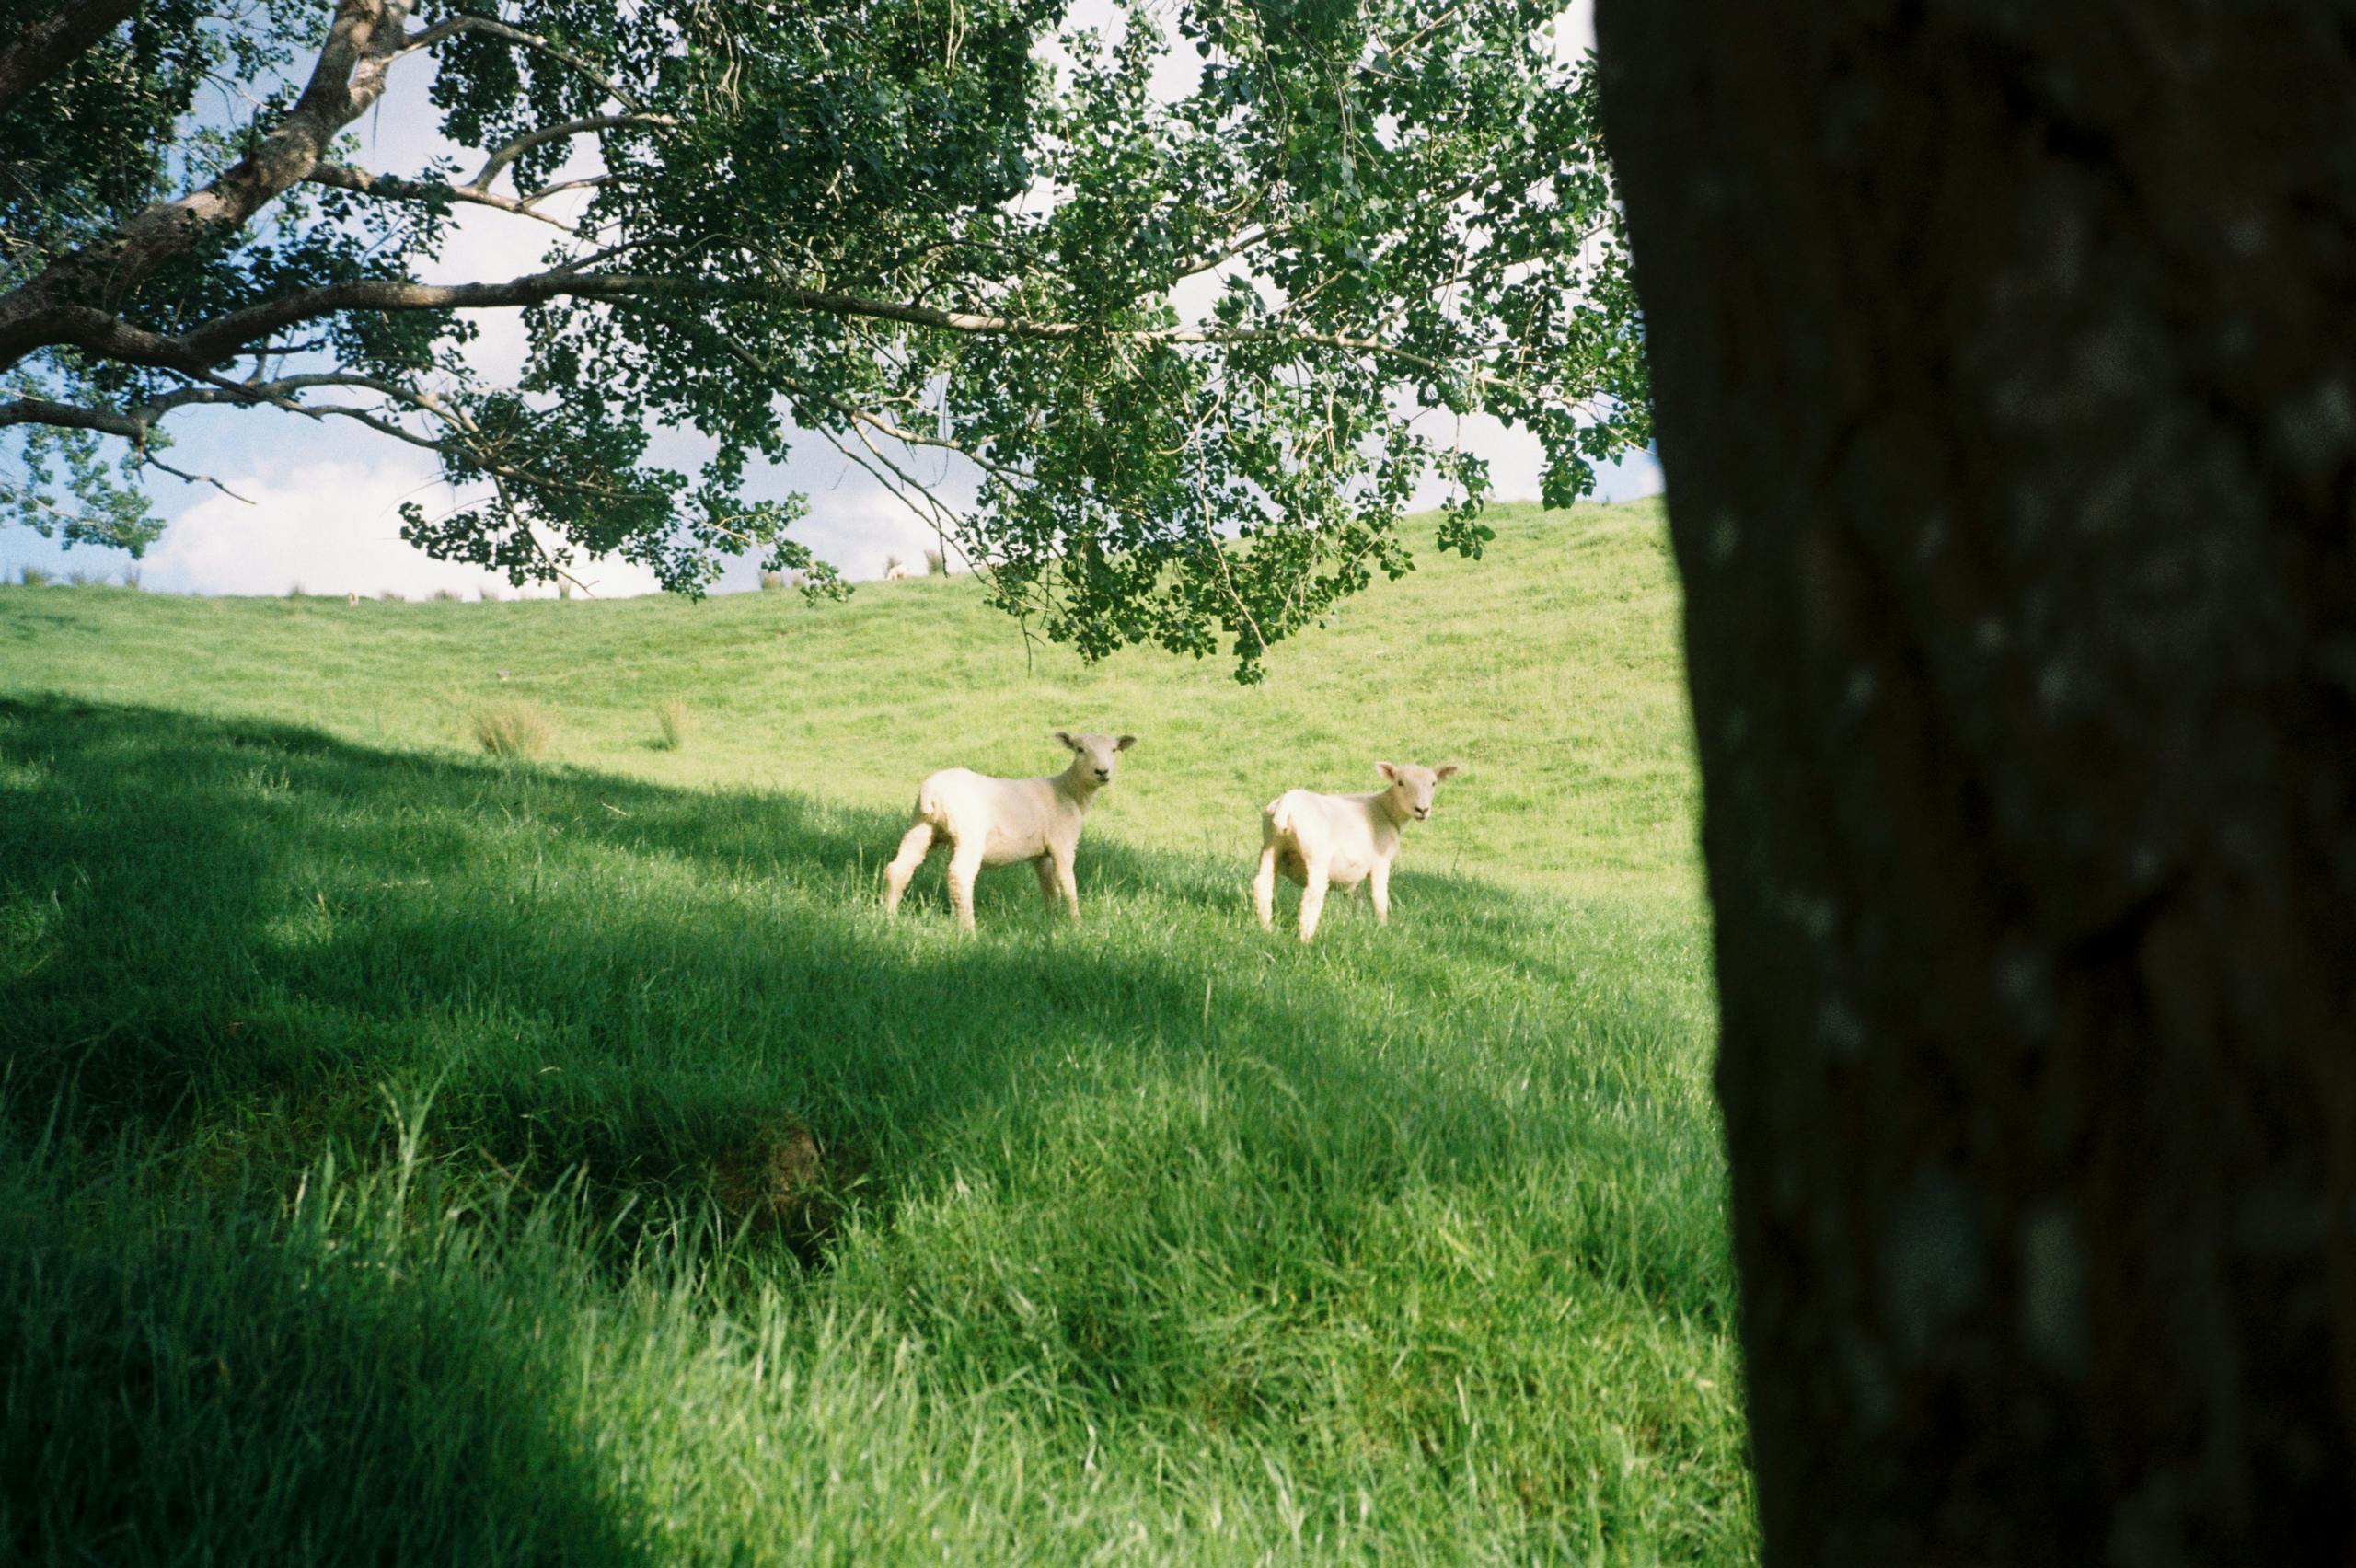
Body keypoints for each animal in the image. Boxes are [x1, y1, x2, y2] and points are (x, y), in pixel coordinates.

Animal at [883, 731, 1137, 931]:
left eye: (1114, 749)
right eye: (1080, 749)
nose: (1102, 772)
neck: (1069, 791)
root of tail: (931, 791)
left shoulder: (1041, 854)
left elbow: (1049, 886)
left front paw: (1053, 918)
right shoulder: (1062, 843)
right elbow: (1068, 883)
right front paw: (1076, 923)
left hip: (920, 826)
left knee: (898, 868)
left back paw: (889, 917)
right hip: (969, 833)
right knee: (959, 875)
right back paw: (969, 930)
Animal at [1252, 761, 1460, 942]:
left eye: (1433, 783)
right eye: (1400, 782)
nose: (1422, 810)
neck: (1386, 810)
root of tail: (1287, 802)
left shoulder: (1356, 870)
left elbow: (1356, 898)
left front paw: (1357, 923)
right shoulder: (1381, 861)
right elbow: (1380, 898)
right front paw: (1383, 929)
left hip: (1271, 845)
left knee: (1263, 885)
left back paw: (1267, 930)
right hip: (1316, 854)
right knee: (1313, 894)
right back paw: (1306, 938)